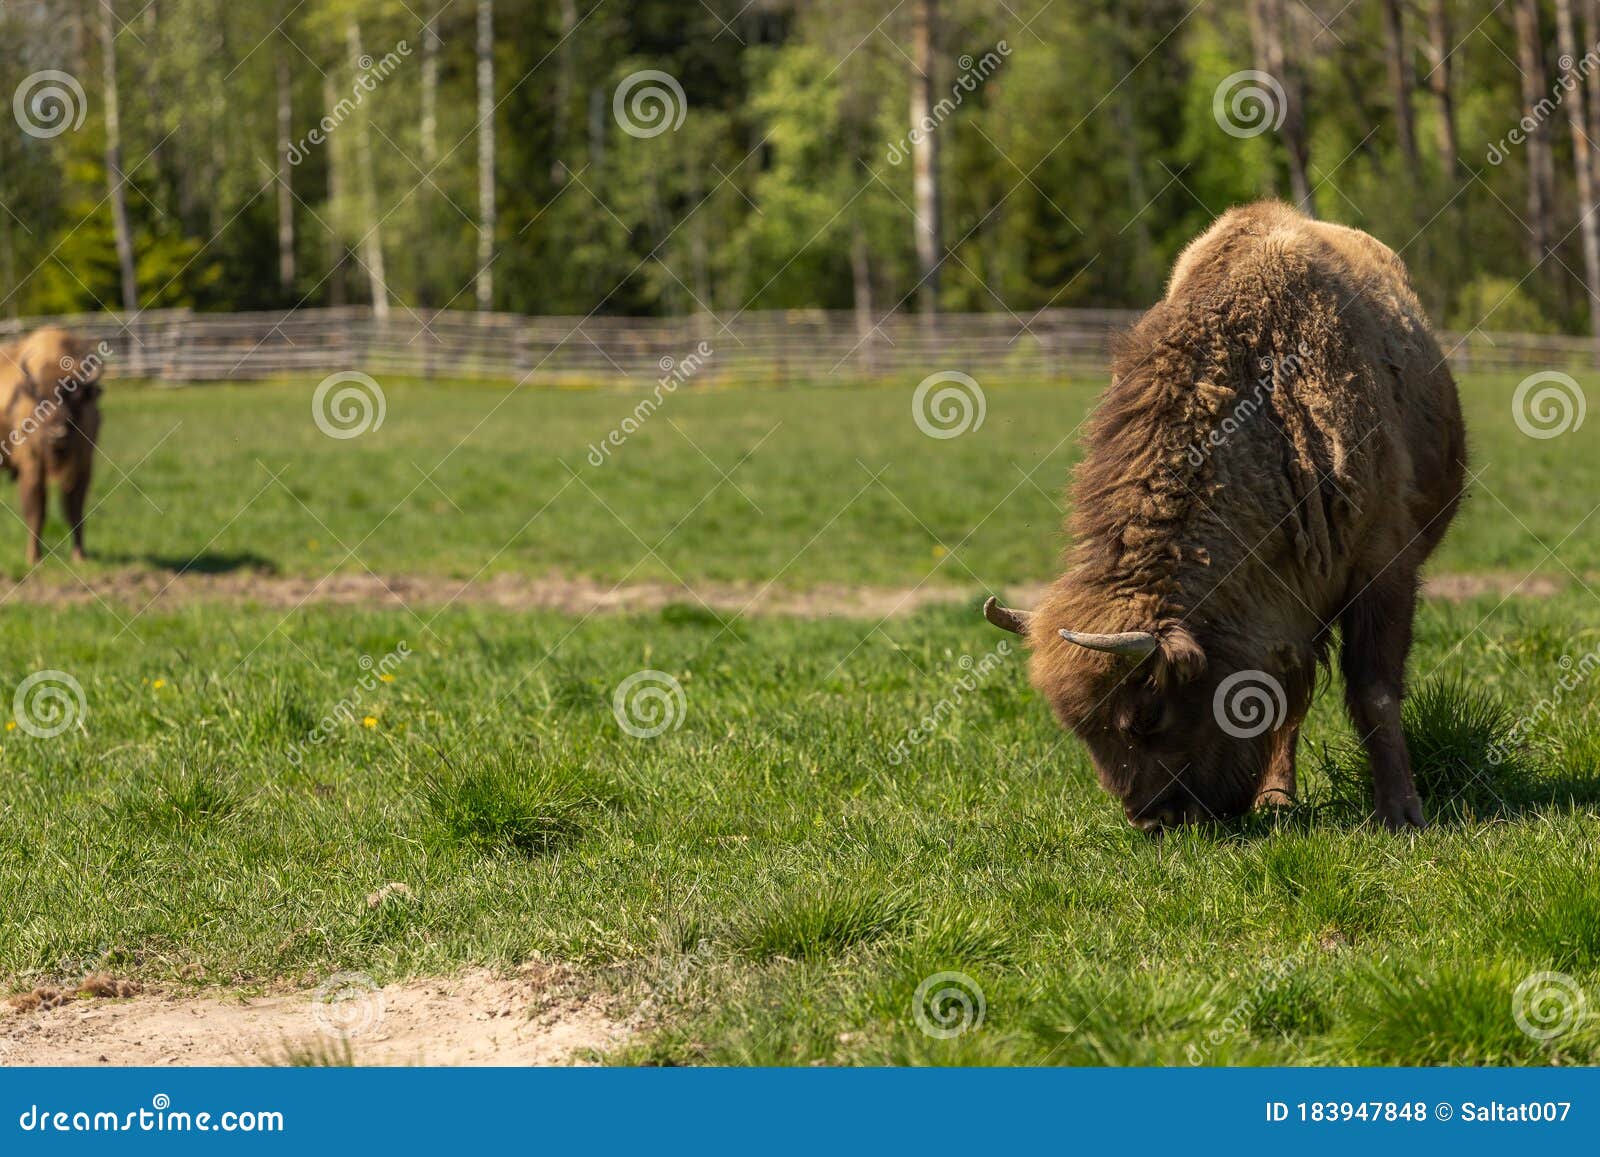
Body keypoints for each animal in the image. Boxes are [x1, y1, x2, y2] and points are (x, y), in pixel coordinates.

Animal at [985, 202, 1466, 831]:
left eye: (1148, 714)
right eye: (1080, 730)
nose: (1155, 819)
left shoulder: (1382, 570)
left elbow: (1374, 692)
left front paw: (1402, 813)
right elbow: (1290, 698)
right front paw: (1279, 798)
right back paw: (1277, 795)